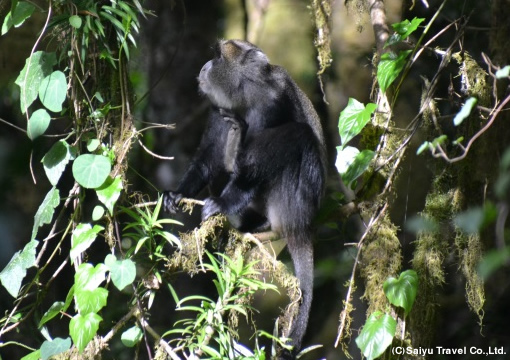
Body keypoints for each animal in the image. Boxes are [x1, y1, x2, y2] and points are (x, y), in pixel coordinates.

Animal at [165, 39, 328, 358]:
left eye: (218, 56)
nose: (204, 66)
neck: (244, 100)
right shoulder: (219, 110)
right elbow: (208, 159)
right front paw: (179, 193)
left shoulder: (273, 101)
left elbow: (255, 165)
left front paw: (222, 202)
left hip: (295, 199)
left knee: (296, 136)